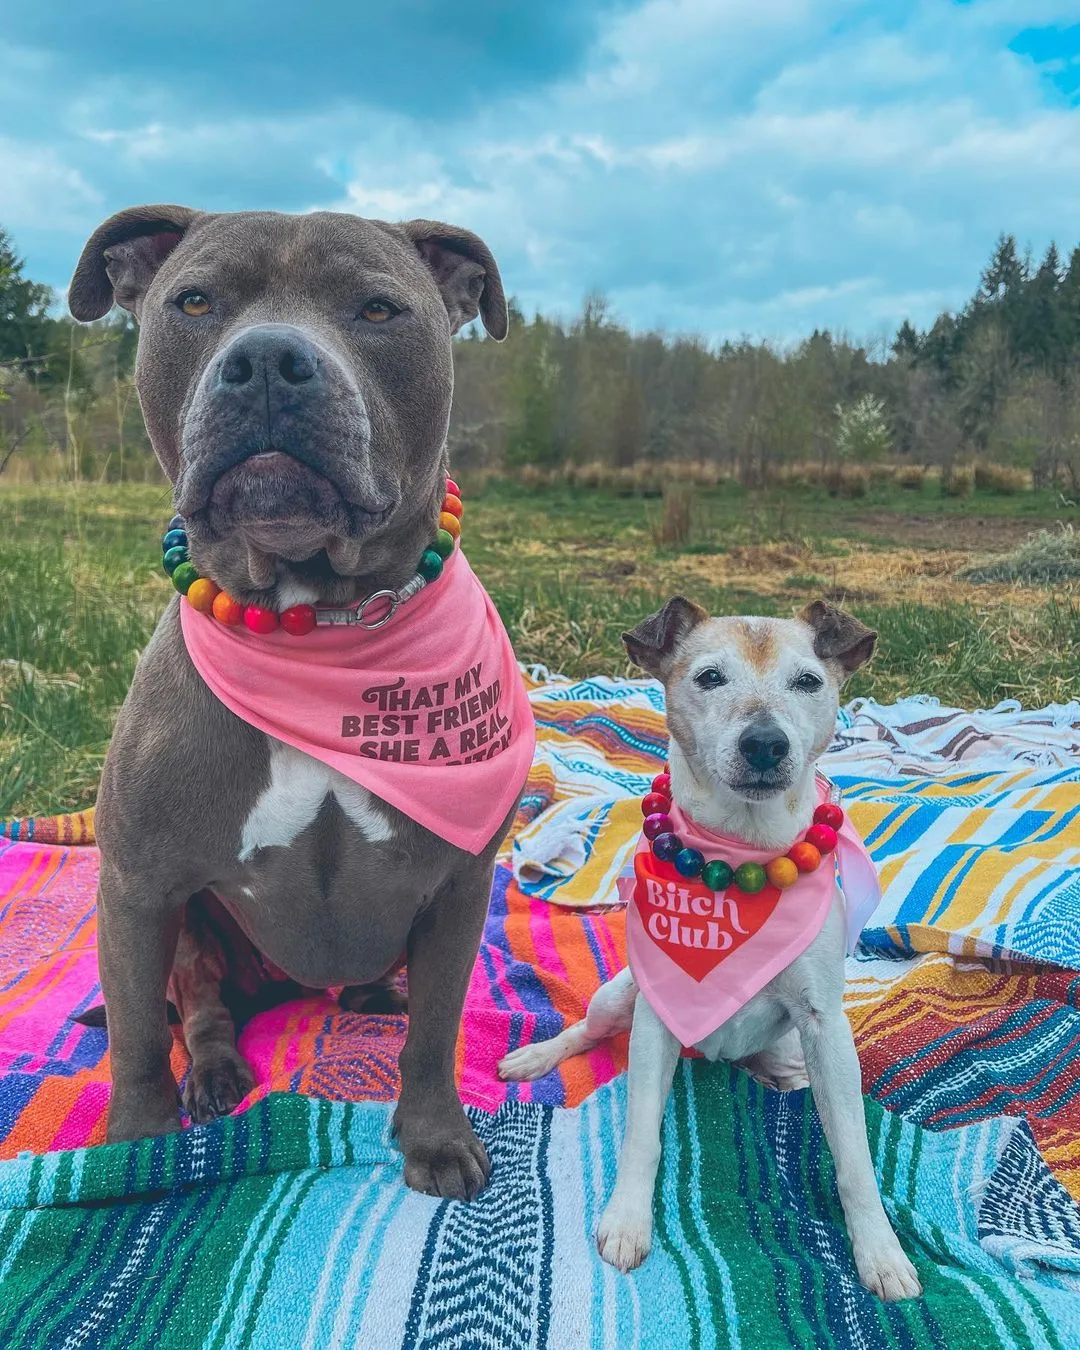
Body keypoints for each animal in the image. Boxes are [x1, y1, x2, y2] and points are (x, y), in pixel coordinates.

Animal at [66, 205, 523, 1198]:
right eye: (195, 302)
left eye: (379, 309)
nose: (269, 358)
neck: (314, 625)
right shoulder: (137, 888)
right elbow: (134, 1042)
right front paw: (130, 1158)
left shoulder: (459, 884)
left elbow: (436, 1031)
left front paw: (435, 1137)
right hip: (193, 929)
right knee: (198, 1010)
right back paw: (214, 1073)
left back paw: (374, 991)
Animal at [502, 596, 923, 1301]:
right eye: (709, 677)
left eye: (807, 681)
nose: (765, 743)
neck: (742, 857)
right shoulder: (656, 1018)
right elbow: (642, 1133)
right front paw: (627, 1220)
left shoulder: (823, 1025)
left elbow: (854, 1156)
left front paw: (880, 1252)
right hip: (621, 995)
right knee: (587, 1031)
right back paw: (537, 1056)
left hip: (788, 1048)